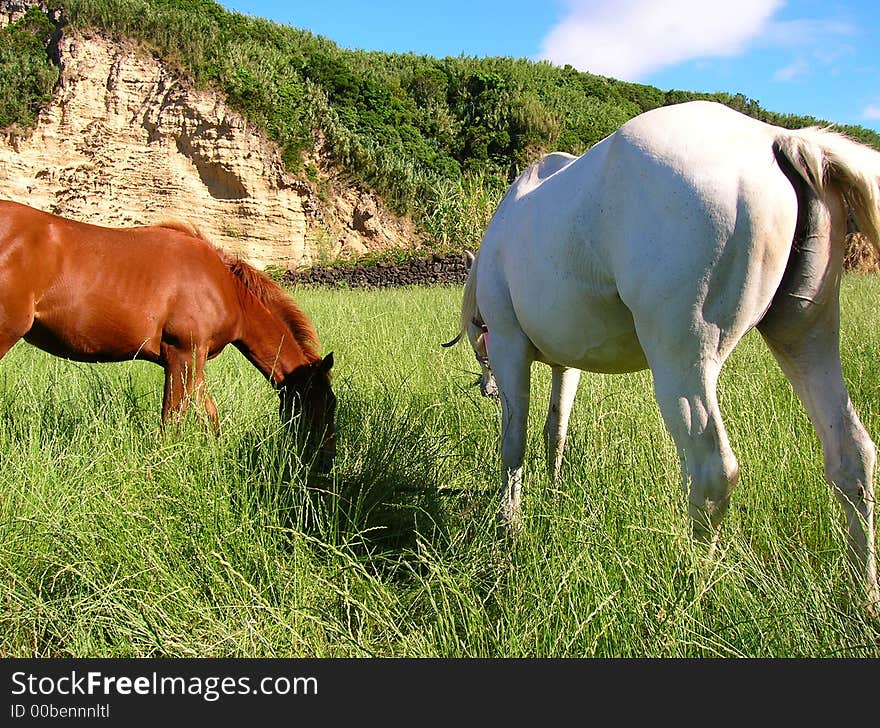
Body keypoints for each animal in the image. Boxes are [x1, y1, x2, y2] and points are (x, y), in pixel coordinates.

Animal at [0, 202, 336, 470]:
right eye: (325, 403)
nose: (326, 461)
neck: (223, 286)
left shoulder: (193, 364)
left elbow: (209, 417)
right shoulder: (183, 356)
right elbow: (172, 422)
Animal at [446, 99, 880, 612]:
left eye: (481, 341)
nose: (486, 388)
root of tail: (778, 140)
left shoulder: (512, 349)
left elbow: (512, 445)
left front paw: (510, 528)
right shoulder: (565, 365)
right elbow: (556, 431)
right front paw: (552, 497)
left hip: (683, 365)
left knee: (713, 473)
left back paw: (688, 594)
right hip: (805, 337)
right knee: (851, 456)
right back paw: (862, 596)